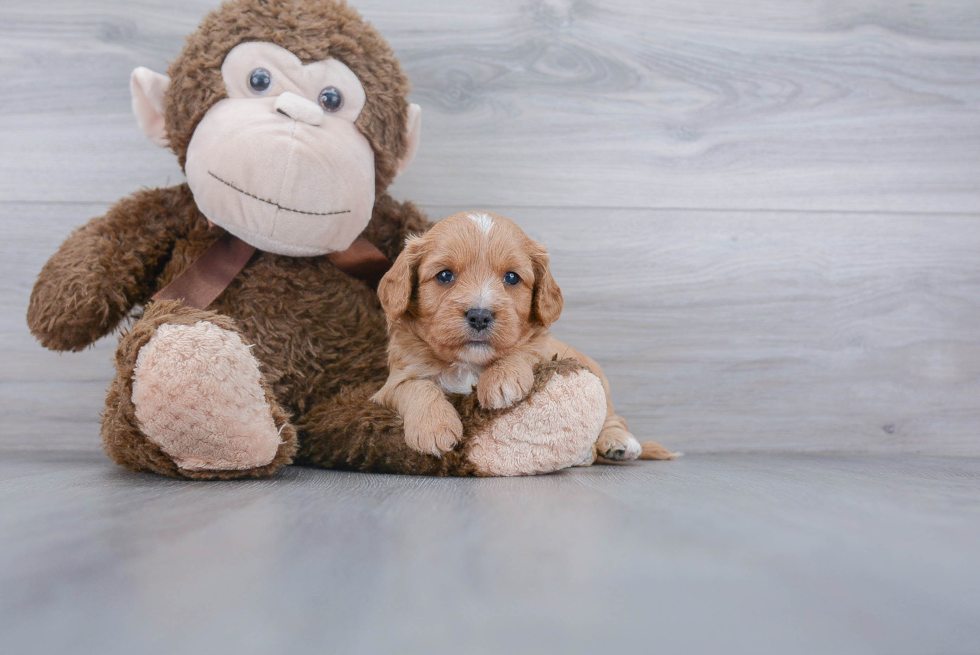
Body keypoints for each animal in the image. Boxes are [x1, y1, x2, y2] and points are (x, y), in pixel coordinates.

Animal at [370, 209, 672, 462]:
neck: (469, 364)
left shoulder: (542, 351)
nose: (479, 315)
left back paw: (618, 443)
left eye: (512, 278)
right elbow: (416, 387)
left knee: (614, 418)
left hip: (600, 382)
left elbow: (523, 350)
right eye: (444, 275)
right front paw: (433, 427)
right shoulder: (391, 384)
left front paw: (502, 377)